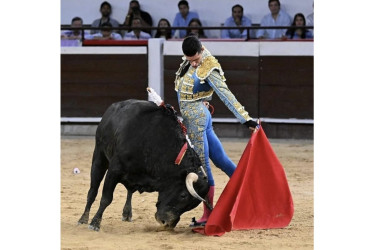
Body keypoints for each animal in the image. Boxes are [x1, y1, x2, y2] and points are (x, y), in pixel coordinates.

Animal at [77, 99, 209, 230]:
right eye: (183, 195)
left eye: (192, 205)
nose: (167, 224)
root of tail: (115, 106)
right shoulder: (114, 170)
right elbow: (106, 198)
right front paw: (95, 223)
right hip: (99, 155)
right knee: (93, 190)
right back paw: (83, 219)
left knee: (129, 190)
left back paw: (127, 213)